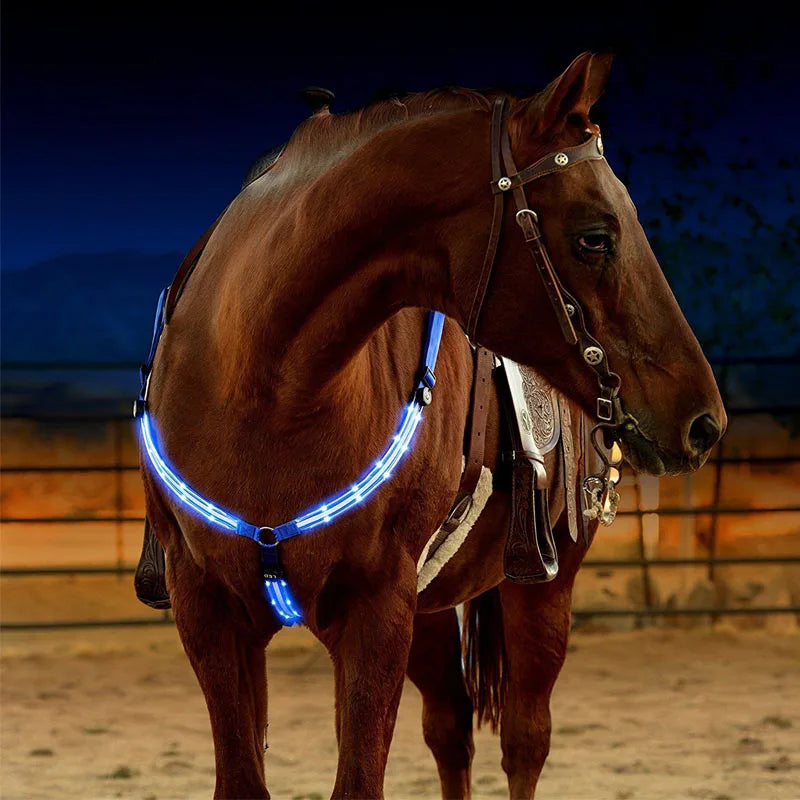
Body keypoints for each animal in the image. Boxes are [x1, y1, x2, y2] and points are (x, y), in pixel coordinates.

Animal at [138, 52, 725, 798]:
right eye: (595, 237)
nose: (703, 422)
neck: (263, 388)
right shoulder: (210, 611)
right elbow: (248, 776)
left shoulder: (376, 610)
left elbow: (361, 778)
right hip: (430, 611)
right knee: (450, 729)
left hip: (541, 587)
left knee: (525, 740)